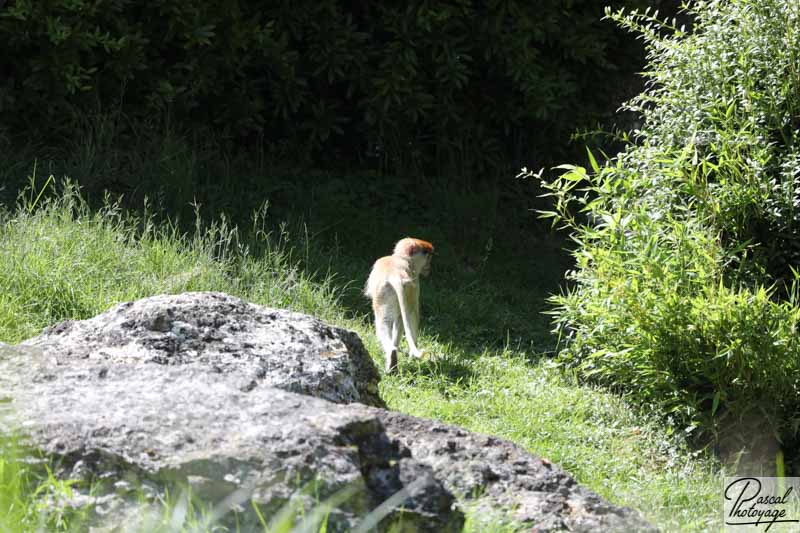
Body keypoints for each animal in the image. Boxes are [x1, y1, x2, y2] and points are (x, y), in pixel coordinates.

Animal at [366, 237, 434, 370]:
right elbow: (410, 316)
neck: (402, 259)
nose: (429, 266)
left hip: (383, 293)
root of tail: (395, 274)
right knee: (403, 317)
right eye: (427, 256)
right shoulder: (414, 283)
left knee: (383, 322)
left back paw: (392, 352)